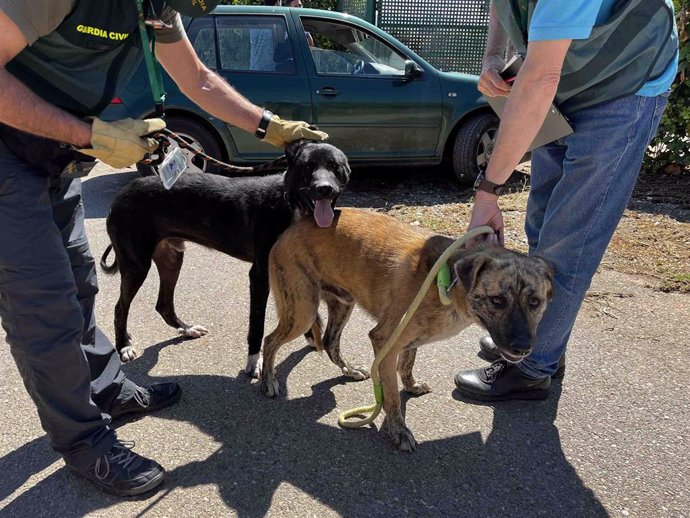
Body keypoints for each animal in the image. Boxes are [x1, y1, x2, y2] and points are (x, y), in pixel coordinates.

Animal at [101, 141, 350, 378]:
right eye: (307, 167)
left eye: (335, 167)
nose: (324, 189)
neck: (290, 204)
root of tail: (121, 194)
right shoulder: (259, 276)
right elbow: (256, 325)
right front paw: (254, 362)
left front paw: (312, 337)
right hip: (136, 265)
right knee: (120, 308)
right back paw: (124, 345)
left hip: (171, 257)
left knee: (164, 305)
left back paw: (187, 329)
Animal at [258, 207, 552, 450]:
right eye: (497, 300)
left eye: (535, 302)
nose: (523, 348)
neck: (444, 282)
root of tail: (290, 230)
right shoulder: (384, 341)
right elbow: (390, 397)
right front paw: (398, 431)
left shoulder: (407, 341)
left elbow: (407, 365)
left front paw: (410, 386)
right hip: (302, 312)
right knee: (270, 341)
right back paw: (267, 380)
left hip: (342, 303)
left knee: (330, 341)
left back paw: (349, 370)